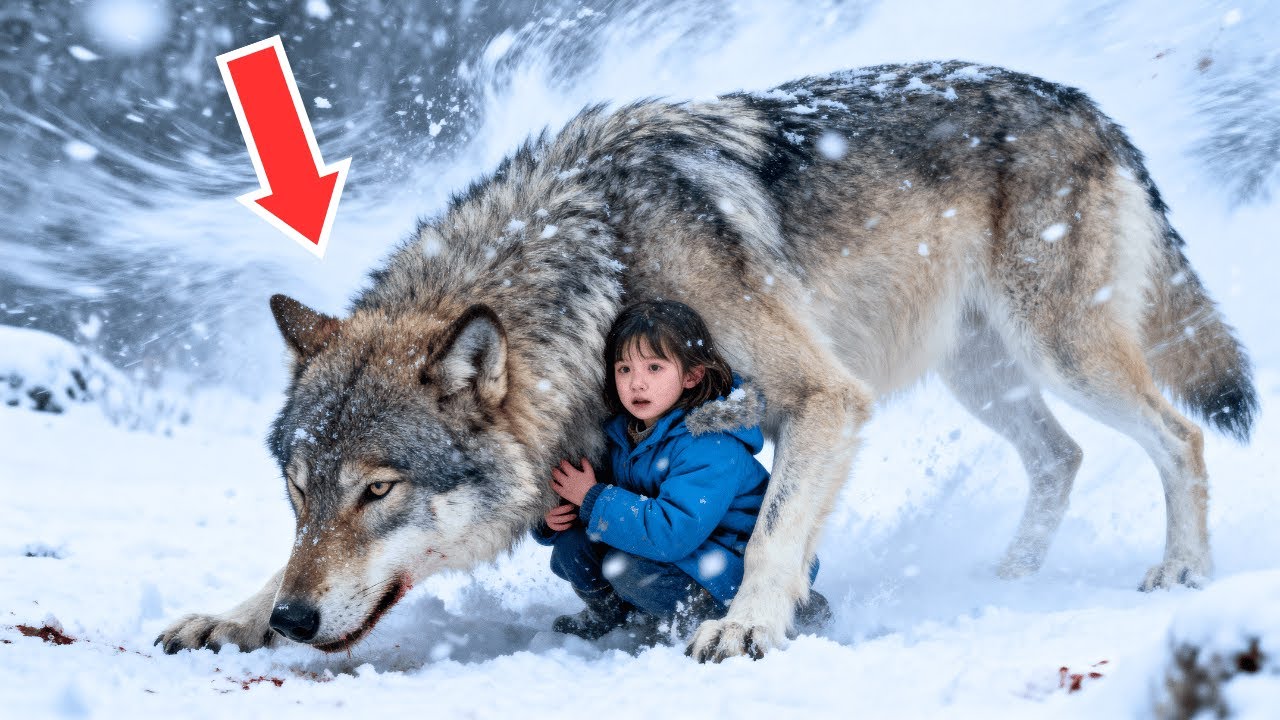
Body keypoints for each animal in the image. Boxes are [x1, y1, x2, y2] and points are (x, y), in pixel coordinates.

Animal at [156, 60, 1256, 662]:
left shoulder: (825, 395)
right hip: (981, 376)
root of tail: (1086, 104)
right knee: (1061, 458)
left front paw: (747, 628)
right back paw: (1014, 573)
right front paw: (233, 615)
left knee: (1181, 437)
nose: (297, 620)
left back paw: (1179, 569)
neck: (600, 259)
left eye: (378, 491)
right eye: (300, 490)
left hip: (1061, 353)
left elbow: (768, 532)